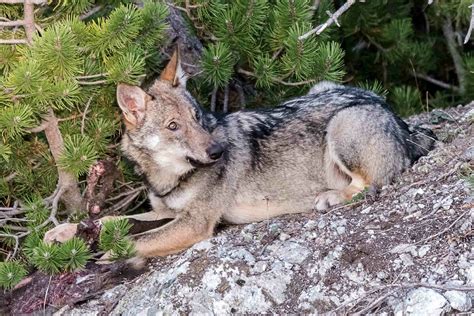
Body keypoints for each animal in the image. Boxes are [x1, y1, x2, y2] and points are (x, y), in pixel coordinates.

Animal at [43, 49, 434, 256]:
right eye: (174, 126)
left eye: (196, 117)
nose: (218, 150)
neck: (169, 178)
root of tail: (397, 118)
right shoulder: (166, 212)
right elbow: (112, 220)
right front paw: (64, 234)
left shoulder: (194, 223)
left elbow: (132, 240)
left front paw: (98, 254)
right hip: (322, 88)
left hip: (341, 126)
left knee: (370, 185)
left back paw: (330, 197)